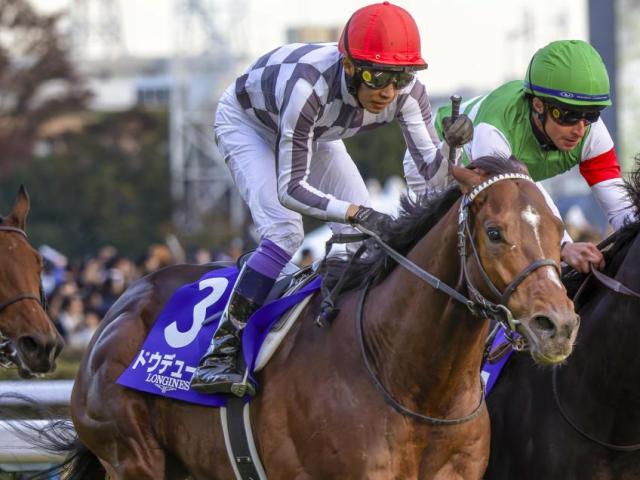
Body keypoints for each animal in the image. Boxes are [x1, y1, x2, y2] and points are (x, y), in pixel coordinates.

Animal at [58, 156, 579, 479]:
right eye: (494, 232)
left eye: (559, 231)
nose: (557, 325)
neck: (412, 382)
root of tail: (123, 303)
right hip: (133, 457)